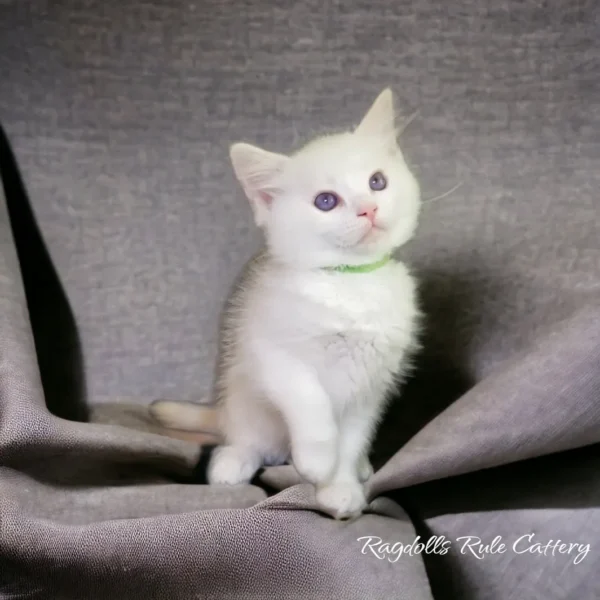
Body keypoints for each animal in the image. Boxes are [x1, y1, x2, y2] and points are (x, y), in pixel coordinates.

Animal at [152, 90, 420, 520]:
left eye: (377, 182)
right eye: (326, 201)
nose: (369, 208)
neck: (348, 282)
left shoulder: (372, 380)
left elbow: (352, 436)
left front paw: (339, 486)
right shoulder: (273, 353)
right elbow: (310, 401)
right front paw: (317, 461)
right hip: (241, 394)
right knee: (245, 436)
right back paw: (233, 461)